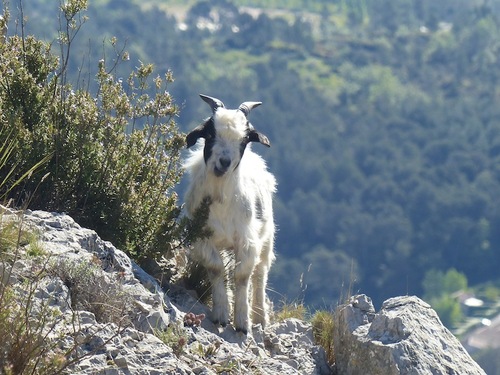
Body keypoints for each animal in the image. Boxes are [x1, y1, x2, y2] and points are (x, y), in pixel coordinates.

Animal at [185, 94, 278, 334]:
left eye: (244, 139)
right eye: (210, 134)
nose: (224, 162)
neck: (222, 200)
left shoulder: (247, 240)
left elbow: (243, 276)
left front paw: (243, 322)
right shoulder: (203, 238)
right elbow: (217, 269)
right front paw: (221, 314)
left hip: (267, 237)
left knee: (260, 274)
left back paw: (260, 317)